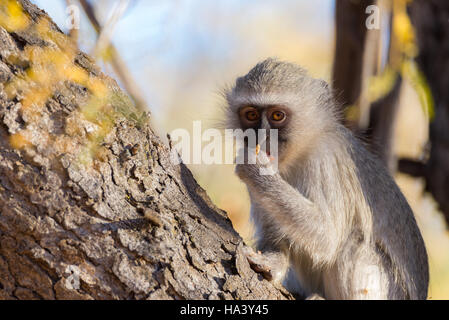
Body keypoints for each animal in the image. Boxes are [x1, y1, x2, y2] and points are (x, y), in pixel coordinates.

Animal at [226, 58, 428, 300]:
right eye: (251, 115)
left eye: (277, 116)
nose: (260, 137)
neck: (300, 152)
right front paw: (271, 263)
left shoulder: (324, 159)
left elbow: (328, 236)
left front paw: (256, 168)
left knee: (352, 242)